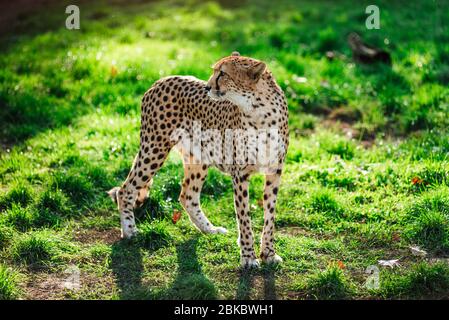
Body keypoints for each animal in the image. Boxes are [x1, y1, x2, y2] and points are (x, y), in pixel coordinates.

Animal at [110, 52, 288, 268]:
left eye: (223, 74)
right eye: (215, 71)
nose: (208, 87)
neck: (259, 110)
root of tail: (161, 79)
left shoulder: (274, 171)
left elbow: (269, 216)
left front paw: (269, 254)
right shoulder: (240, 174)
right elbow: (244, 218)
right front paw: (248, 257)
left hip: (198, 157)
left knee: (187, 195)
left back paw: (210, 230)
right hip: (154, 148)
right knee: (126, 189)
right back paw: (129, 231)